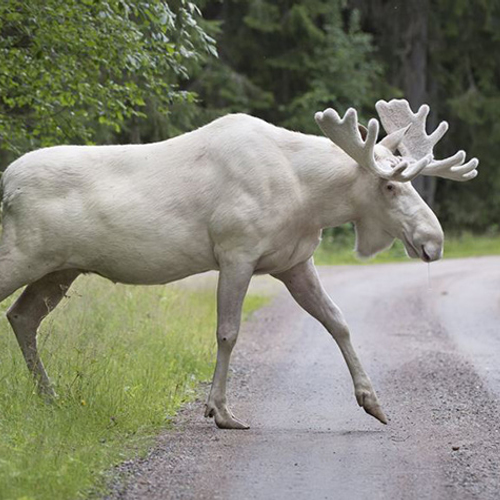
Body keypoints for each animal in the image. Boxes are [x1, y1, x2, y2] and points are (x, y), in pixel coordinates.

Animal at [0, 98, 476, 430]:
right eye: (389, 186)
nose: (434, 241)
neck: (309, 199)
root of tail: (5, 183)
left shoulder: (294, 262)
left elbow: (338, 321)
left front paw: (373, 402)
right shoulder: (236, 252)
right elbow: (228, 332)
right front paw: (220, 411)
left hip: (60, 269)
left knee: (22, 317)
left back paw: (50, 396)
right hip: (22, 254)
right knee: (18, 312)